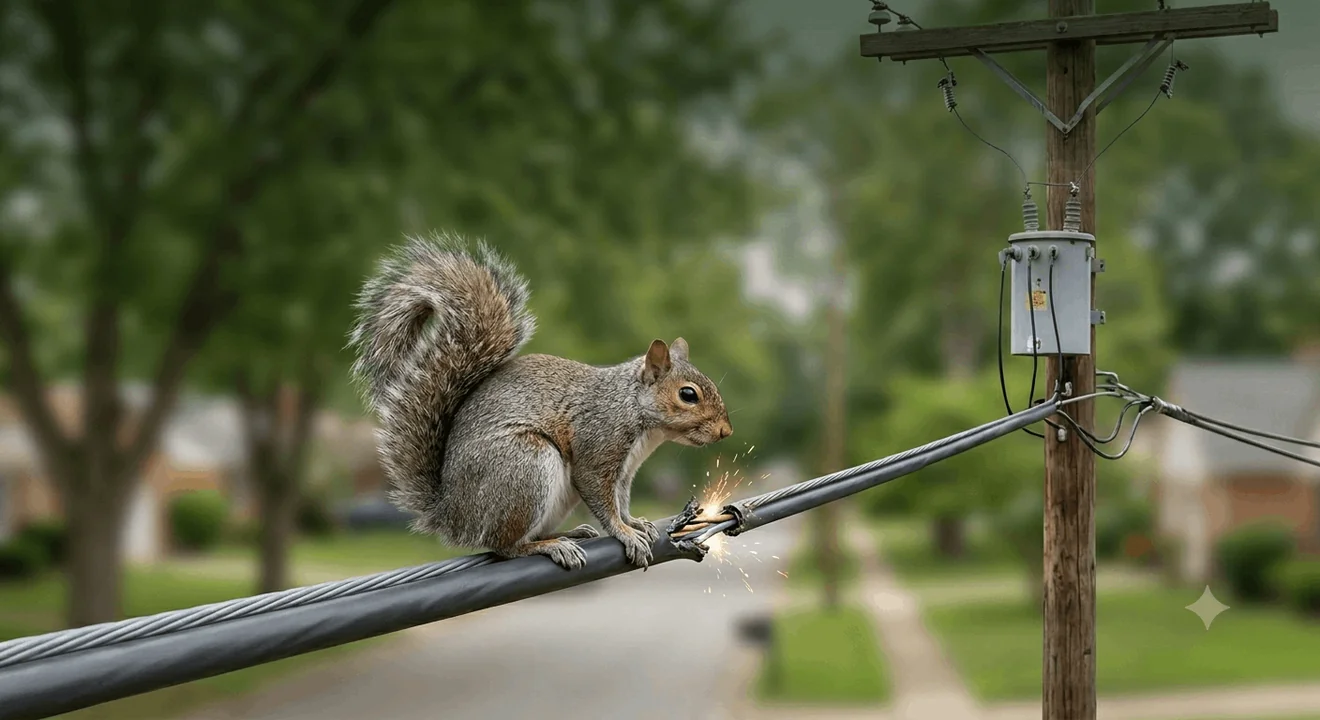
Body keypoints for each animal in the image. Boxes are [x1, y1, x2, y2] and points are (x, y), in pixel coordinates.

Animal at [348, 232, 734, 570]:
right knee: (505, 546)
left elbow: (621, 500)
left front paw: (635, 522)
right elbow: (602, 499)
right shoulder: (598, 445)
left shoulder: (624, 471)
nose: (726, 431)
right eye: (688, 394)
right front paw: (625, 533)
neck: (634, 409)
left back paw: (568, 534)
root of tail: (452, 515)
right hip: (525, 466)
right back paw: (550, 546)